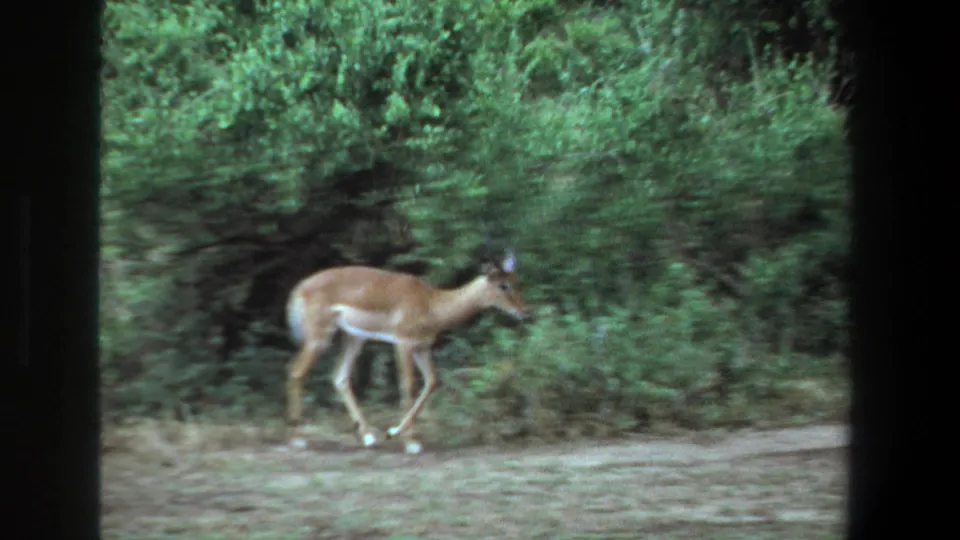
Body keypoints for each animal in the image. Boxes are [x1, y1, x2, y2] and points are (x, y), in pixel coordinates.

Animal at [285, 251, 529, 454]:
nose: (525, 312)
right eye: (503, 285)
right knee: (296, 372)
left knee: (340, 378)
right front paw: (408, 441)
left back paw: (368, 437)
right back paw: (298, 439)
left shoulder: (422, 347)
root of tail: (300, 288)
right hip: (319, 339)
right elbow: (408, 385)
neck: (432, 303)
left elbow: (432, 382)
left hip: (353, 339)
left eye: (516, 281)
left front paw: (394, 433)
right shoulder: (403, 343)